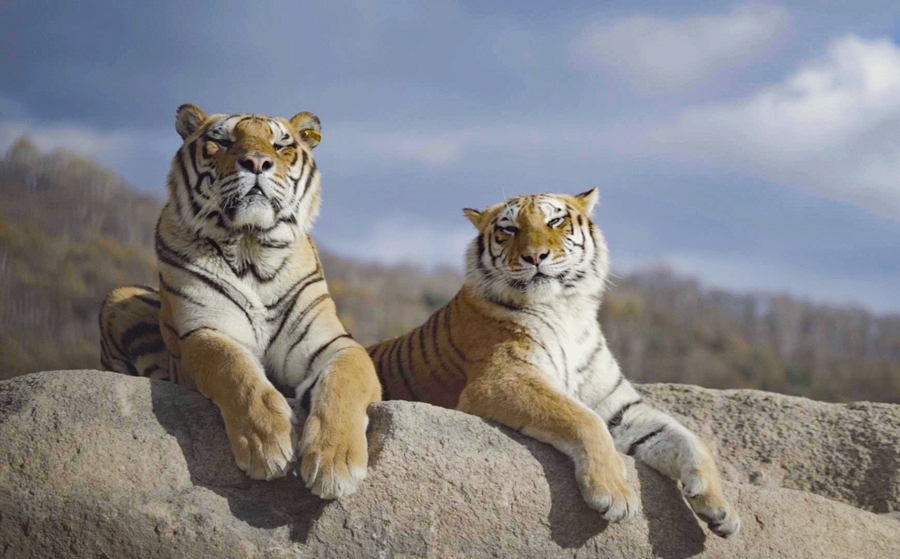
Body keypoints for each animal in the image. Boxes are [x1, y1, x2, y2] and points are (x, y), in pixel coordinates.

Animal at [99, 104, 381, 500]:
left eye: (281, 145)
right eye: (221, 141)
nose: (257, 162)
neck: (252, 249)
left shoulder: (332, 343)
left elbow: (345, 381)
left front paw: (335, 462)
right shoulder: (205, 332)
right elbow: (235, 370)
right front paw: (268, 445)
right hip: (120, 295)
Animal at [367, 190, 741, 537]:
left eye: (555, 221)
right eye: (509, 228)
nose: (535, 256)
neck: (567, 309)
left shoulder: (621, 408)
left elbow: (688, 438)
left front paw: (721, 510)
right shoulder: (502, 380)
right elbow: (584, 419)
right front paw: (615, 494)